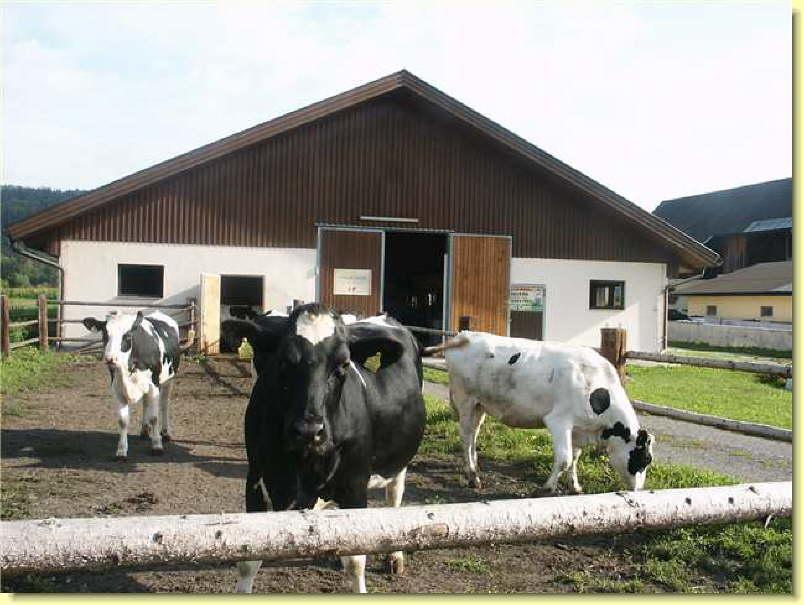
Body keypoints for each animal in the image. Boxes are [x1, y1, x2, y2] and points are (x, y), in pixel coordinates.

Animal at [82, 312, 182, 458]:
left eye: (127, 335)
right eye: (105, 333)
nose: (110, 359)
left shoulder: (154, 385)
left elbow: (154, 417)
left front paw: (157, 445)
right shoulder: (117, 388)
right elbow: (123, 420)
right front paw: (121, 450)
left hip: (169, 379)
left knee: (164, 404)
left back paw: (165, 433)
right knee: (146, 403)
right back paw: (144, 430)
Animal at [229, 304, 428, 592]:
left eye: (343, 365)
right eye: (283, 361)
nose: (309, 430)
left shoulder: (355, 486)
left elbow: (355, 562)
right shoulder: (255, 479)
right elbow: (247, 560)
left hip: (399, 461)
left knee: (394, 496)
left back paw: (394, 556)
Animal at [428, 332, 652, 494]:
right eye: (644, 459)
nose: (638, 490)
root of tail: (465, 335)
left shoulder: (578, 429)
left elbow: (575, 458)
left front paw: (575, 486)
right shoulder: (559, 421)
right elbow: (564, 459)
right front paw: (548, 487)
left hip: (479, 405)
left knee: (474, 434)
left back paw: (475, 468)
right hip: (465, 400)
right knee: (466, 437)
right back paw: (473, 476)